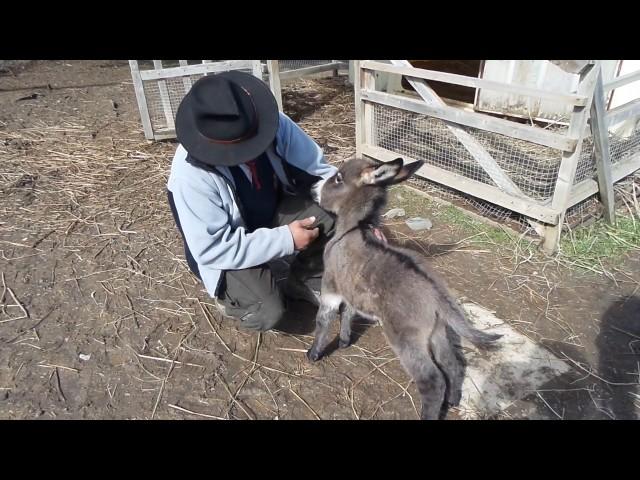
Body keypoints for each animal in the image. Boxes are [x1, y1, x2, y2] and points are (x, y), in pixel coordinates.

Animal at [308, 158, 502, 420]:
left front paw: (314, 353)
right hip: (436, 330)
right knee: (451, 363)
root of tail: (435, 292)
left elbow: (324, 320)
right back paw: (452, 399)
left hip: (406, 339)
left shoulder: (330, 285)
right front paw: (345, 341)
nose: (313, 188)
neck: (353, 228)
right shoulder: (350, 289)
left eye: (338, 178)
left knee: (432, 380)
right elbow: (348, 312)